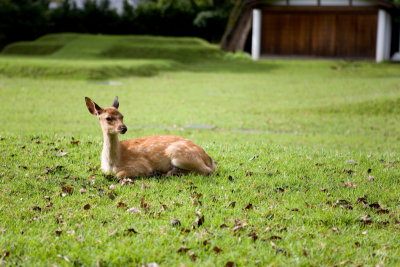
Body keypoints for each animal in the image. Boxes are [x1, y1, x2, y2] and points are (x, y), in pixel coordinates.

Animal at [84, 97, 216, 180]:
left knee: (206, 171)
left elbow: (119, 174)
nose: (123, 128)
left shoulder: (141, 165)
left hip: (179, 155)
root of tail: (209, 160)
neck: (111, 164)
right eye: (108, 118)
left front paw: (150, 173)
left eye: (122, 116)